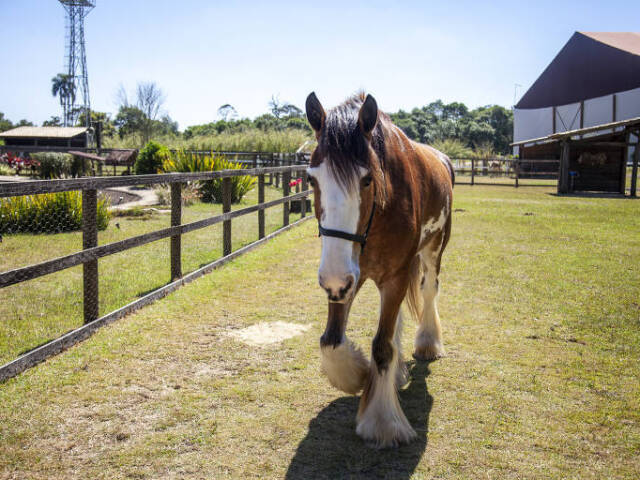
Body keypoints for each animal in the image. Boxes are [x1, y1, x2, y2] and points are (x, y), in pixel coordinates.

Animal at [304, 92, 456, 448]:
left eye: (367, 179)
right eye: (311, 179)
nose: (332, 279)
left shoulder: (392, 276)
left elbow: (382, 347)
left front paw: (383, 421)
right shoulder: (346, 279)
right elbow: (331, 340)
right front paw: (358, 375)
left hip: (433, 249)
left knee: (429, 291)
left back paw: (428, 342)